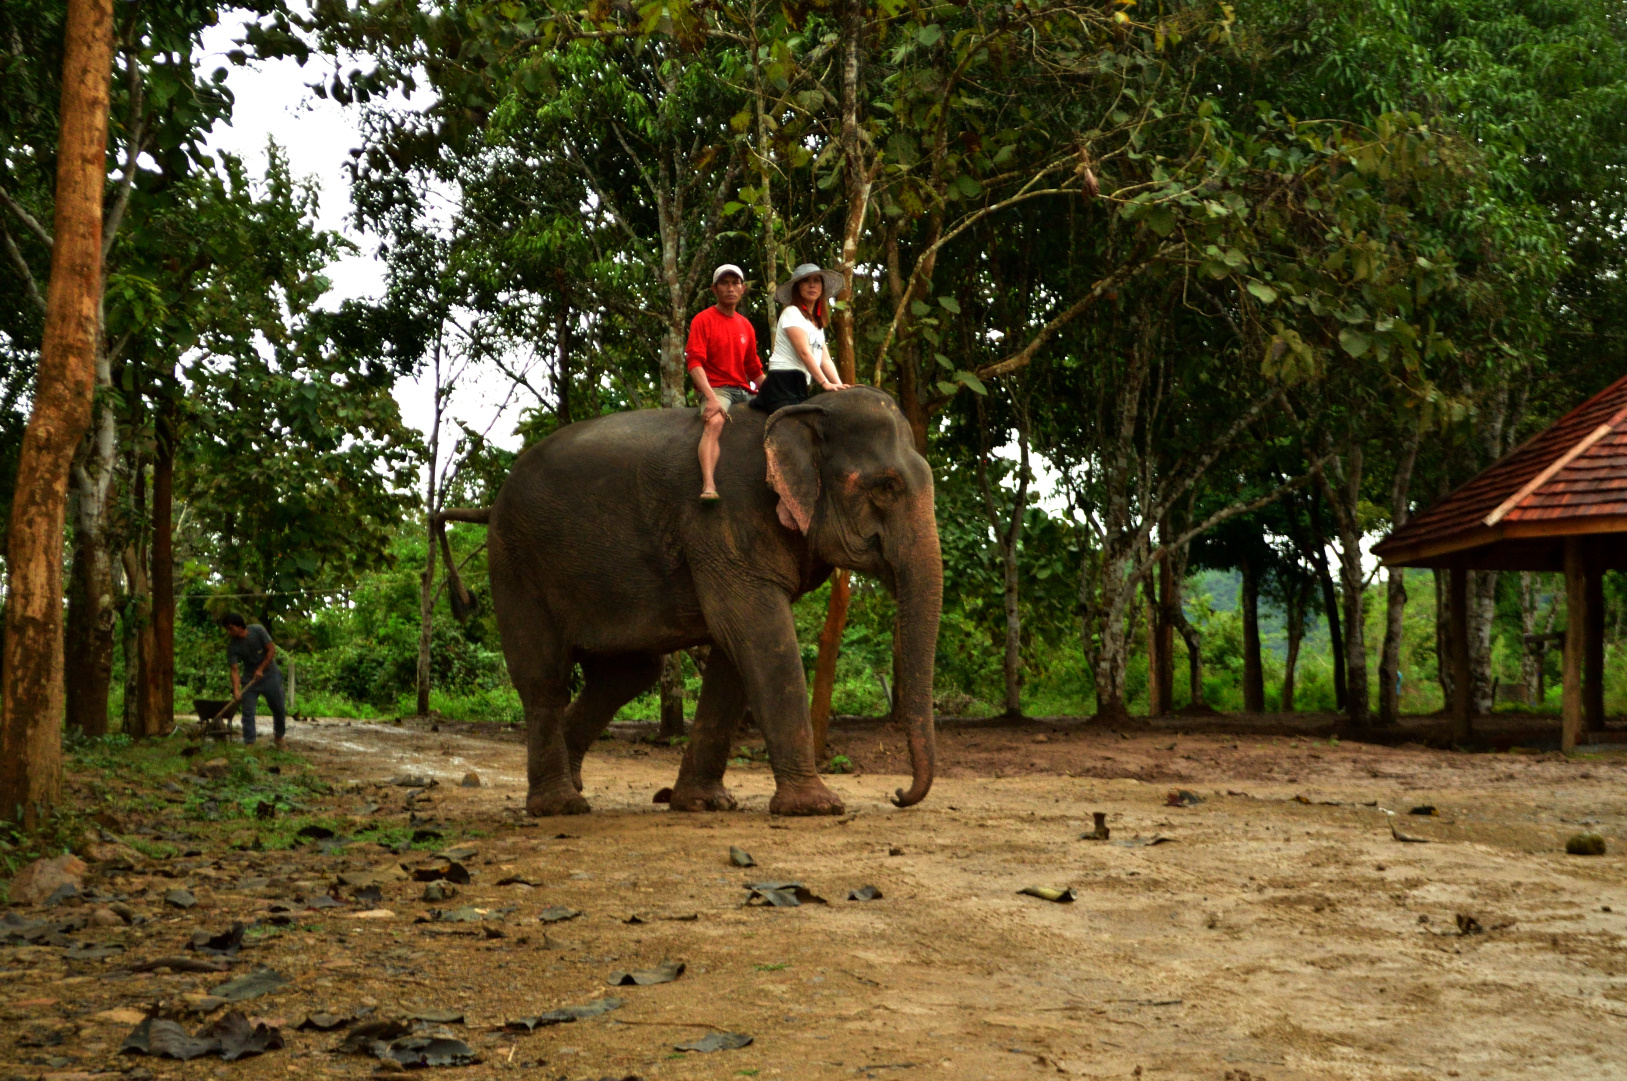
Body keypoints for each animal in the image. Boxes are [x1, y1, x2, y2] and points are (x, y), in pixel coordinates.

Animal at [432, 384, 943, 814]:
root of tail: (490, 505)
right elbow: (760, 636)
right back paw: (560, 806)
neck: (802, 412)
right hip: (517, 563)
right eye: (887, 487)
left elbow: (736, 652)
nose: (898, 795)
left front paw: (704, 803)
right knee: (545, 678)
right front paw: (817, 807)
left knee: (627, 675)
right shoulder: (726, 520)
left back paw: (574, 786)